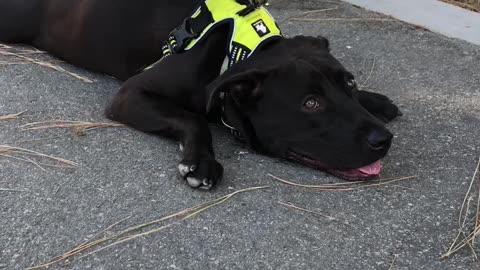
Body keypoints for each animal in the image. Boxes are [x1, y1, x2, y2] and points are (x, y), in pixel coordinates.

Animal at [0, 0, 402, 190]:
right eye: (310, 103)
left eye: (350, 83)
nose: (383, 139)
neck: (237, 50)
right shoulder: (131, 94)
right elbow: (194, 119)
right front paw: (201, 163)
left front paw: (376, 100)